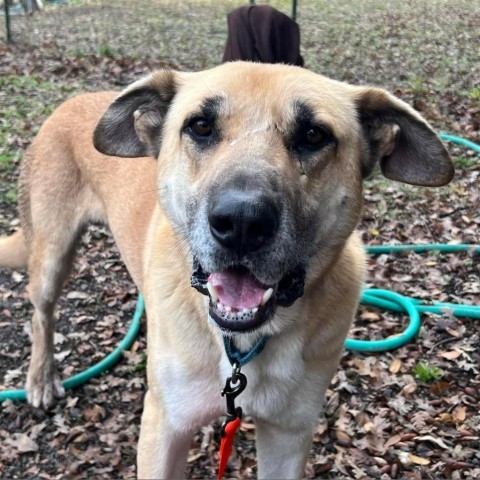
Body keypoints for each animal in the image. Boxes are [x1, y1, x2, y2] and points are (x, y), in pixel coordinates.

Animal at [0, 62, 452, 478]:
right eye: (200, 126)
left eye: (313, 135)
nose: (241, 222)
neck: (243, 343)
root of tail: (72, 101)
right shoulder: (164, 428)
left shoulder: (288, 435)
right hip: (52, 255)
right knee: (41, 313)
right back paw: (40, 378)